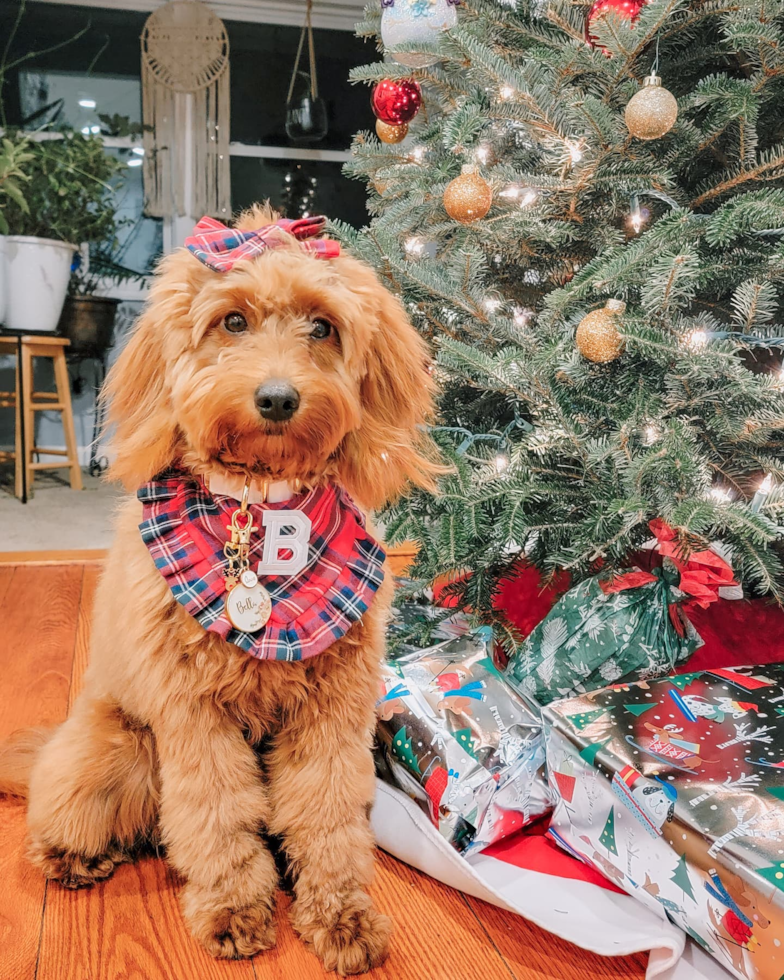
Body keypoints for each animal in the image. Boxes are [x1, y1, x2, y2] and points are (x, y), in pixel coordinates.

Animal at [0, 205, 440, 972]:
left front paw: (340, 914)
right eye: (232, 321)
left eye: (322, 327)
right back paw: (73, 856)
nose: (277, 398)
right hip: (119, 750)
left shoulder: (332, 712)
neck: (262, 518)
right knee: (78, 812)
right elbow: (218, 816)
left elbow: (325, 815)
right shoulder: (194, 715)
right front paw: (235, 909)